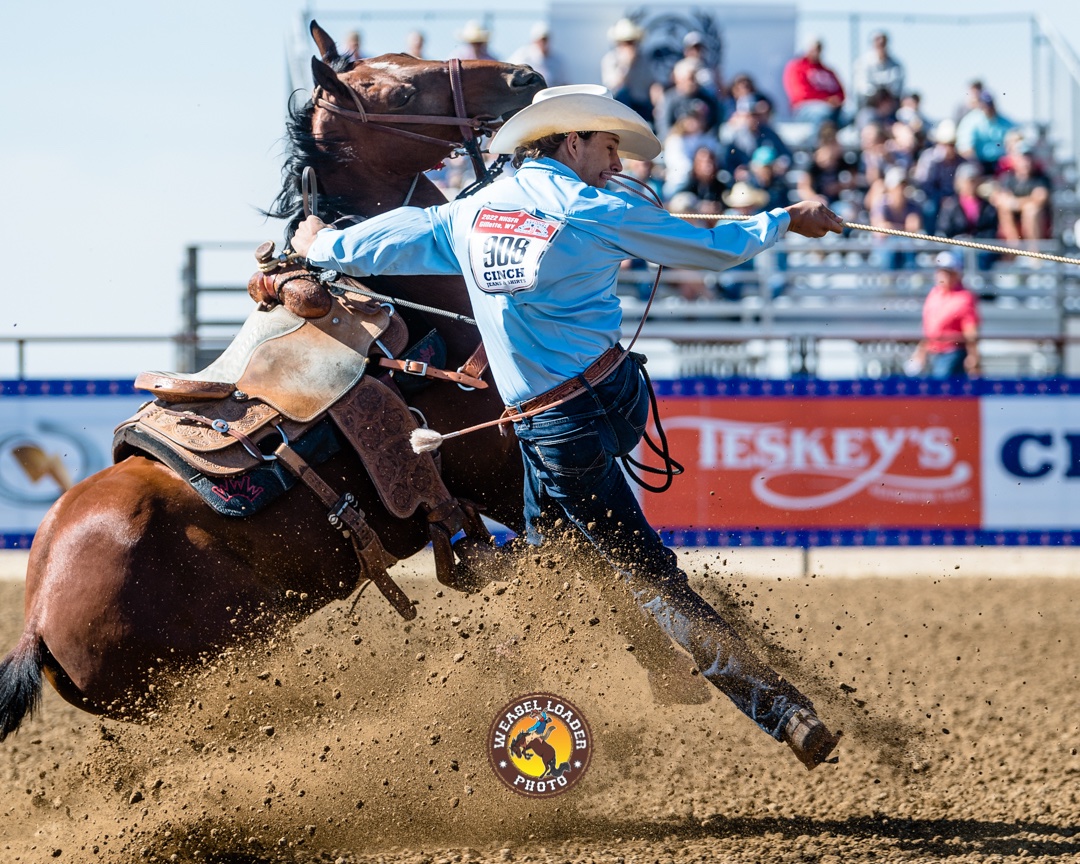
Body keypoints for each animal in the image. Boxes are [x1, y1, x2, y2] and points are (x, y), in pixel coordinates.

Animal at [0, 20, 544, 734]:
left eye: (407, 54)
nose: (523, 77)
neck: (416, 319)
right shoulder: (501, 470)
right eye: (400, 90)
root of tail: (36, 619)